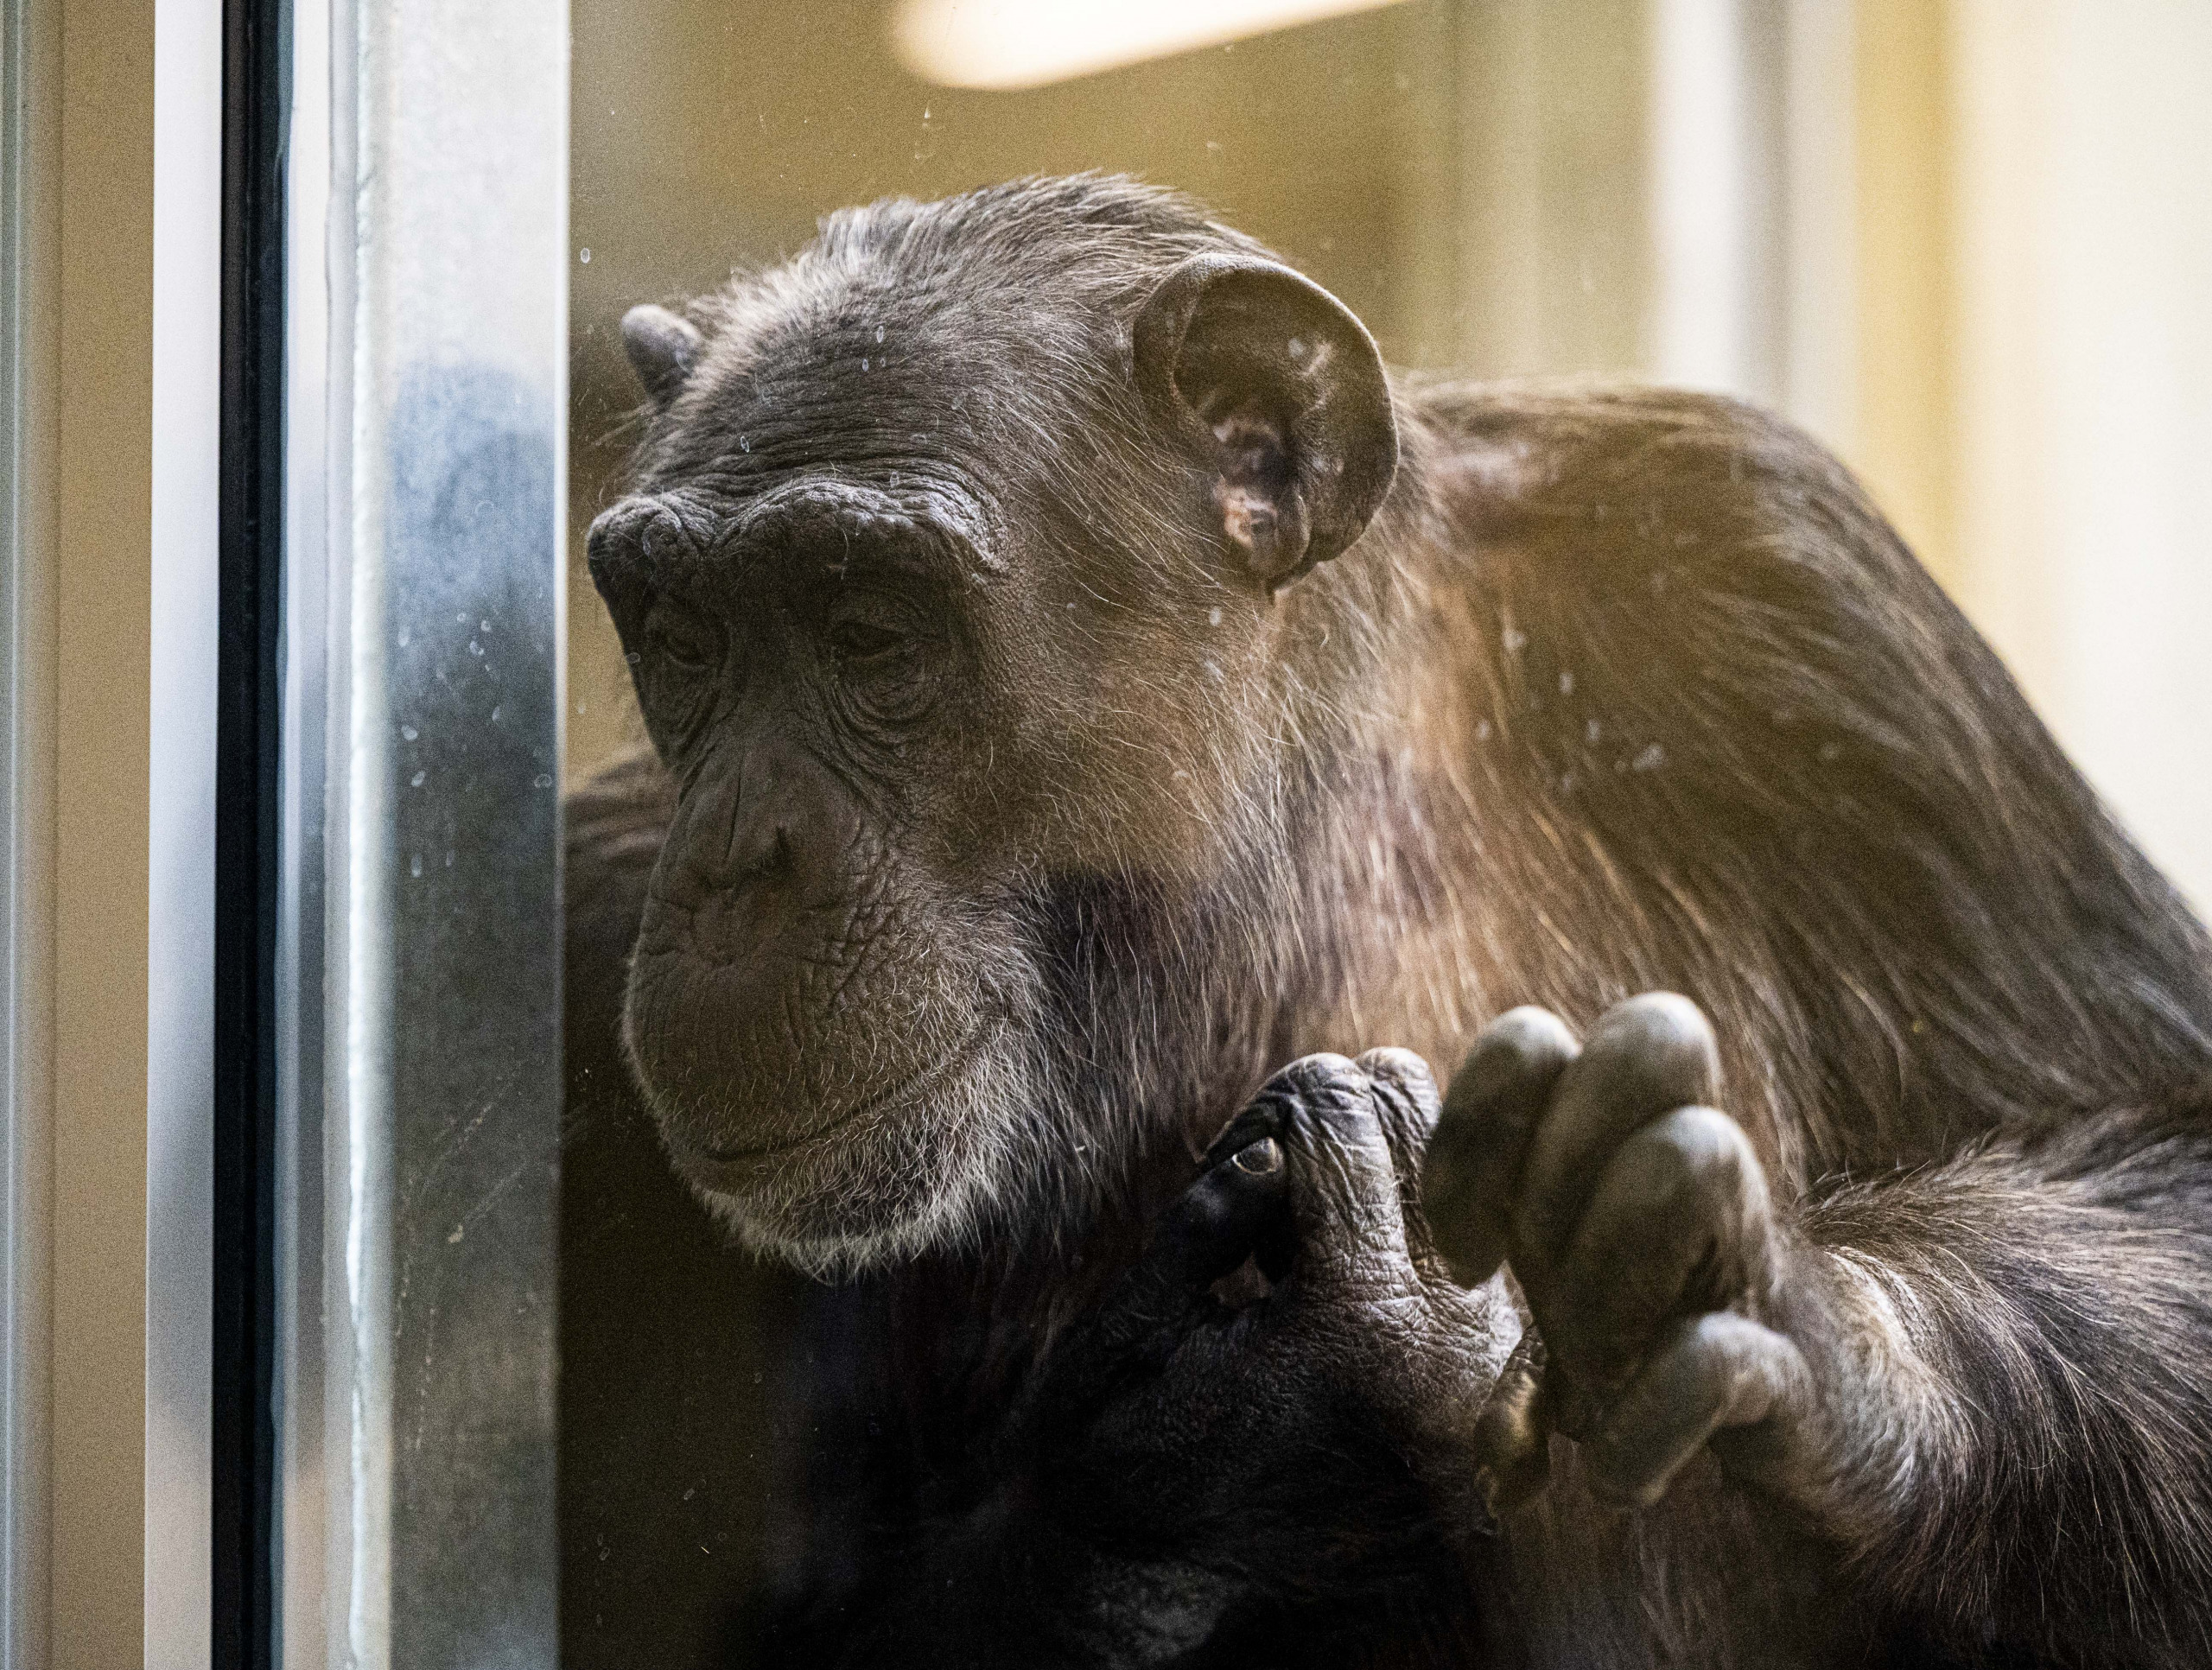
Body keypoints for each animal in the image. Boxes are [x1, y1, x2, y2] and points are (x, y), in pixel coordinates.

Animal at [562, 175, 2212, 1663]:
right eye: (686, 640)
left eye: (872, 631)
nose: (735, 862)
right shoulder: (586, 939)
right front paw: (1208, 1431)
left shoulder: (1791, 586)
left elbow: (2149, 1135)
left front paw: (1780, 1307)